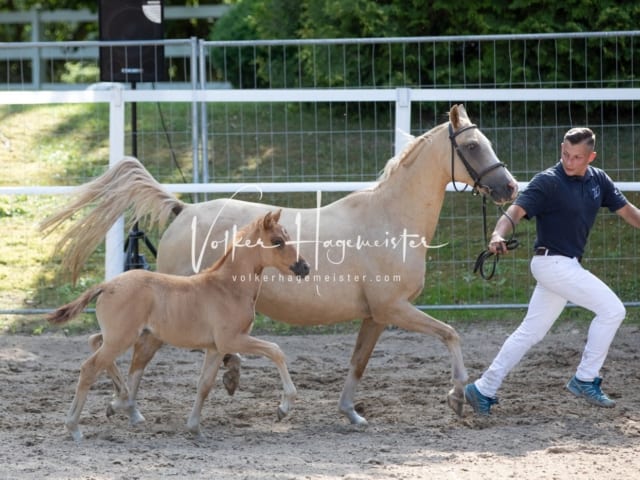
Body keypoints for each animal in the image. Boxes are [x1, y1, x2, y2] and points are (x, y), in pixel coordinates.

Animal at [48, 211, 310, 442]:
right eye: (277, 241)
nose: (304, 267)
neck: (228, 288)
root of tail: (106, 285)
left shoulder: (216, 347)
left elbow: (204, 385)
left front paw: (195, 429)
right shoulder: (233, 339)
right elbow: (276, 350)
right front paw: (284, 407)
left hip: (123, 336)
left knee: (95, 343)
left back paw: (119, 402)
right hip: (122, 338)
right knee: (89, 368)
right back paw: (74, 427)